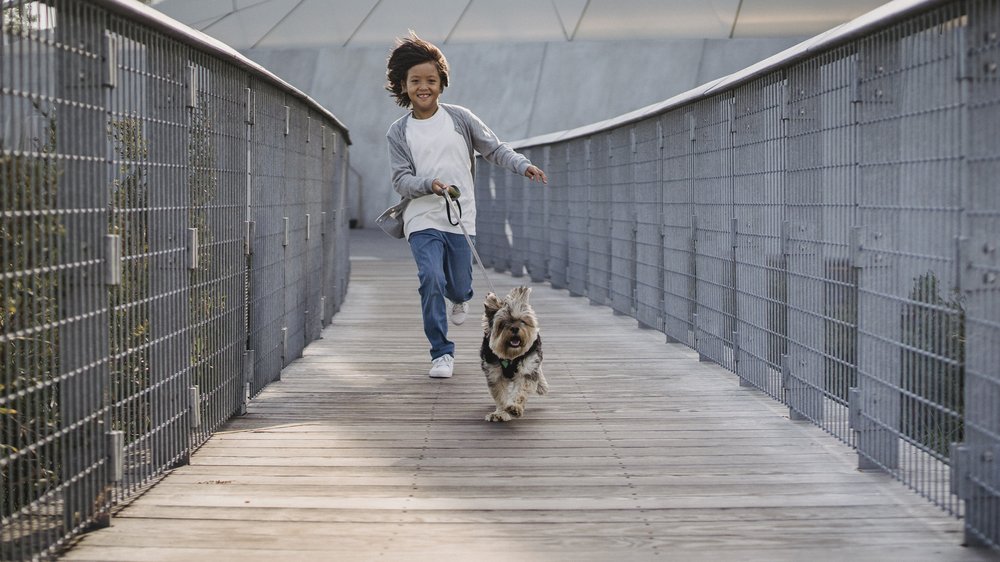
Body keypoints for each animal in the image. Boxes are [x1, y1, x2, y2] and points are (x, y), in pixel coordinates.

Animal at [478, 284, 548, 420]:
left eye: (522, 321)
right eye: (503, 323)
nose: (515, 328)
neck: (510, 357)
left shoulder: (527, 368)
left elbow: (521, 389)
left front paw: (515, 408)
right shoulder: (494, 373)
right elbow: (500, 395)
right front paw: (500, 413)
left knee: (539, 370)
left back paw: (542, 386)